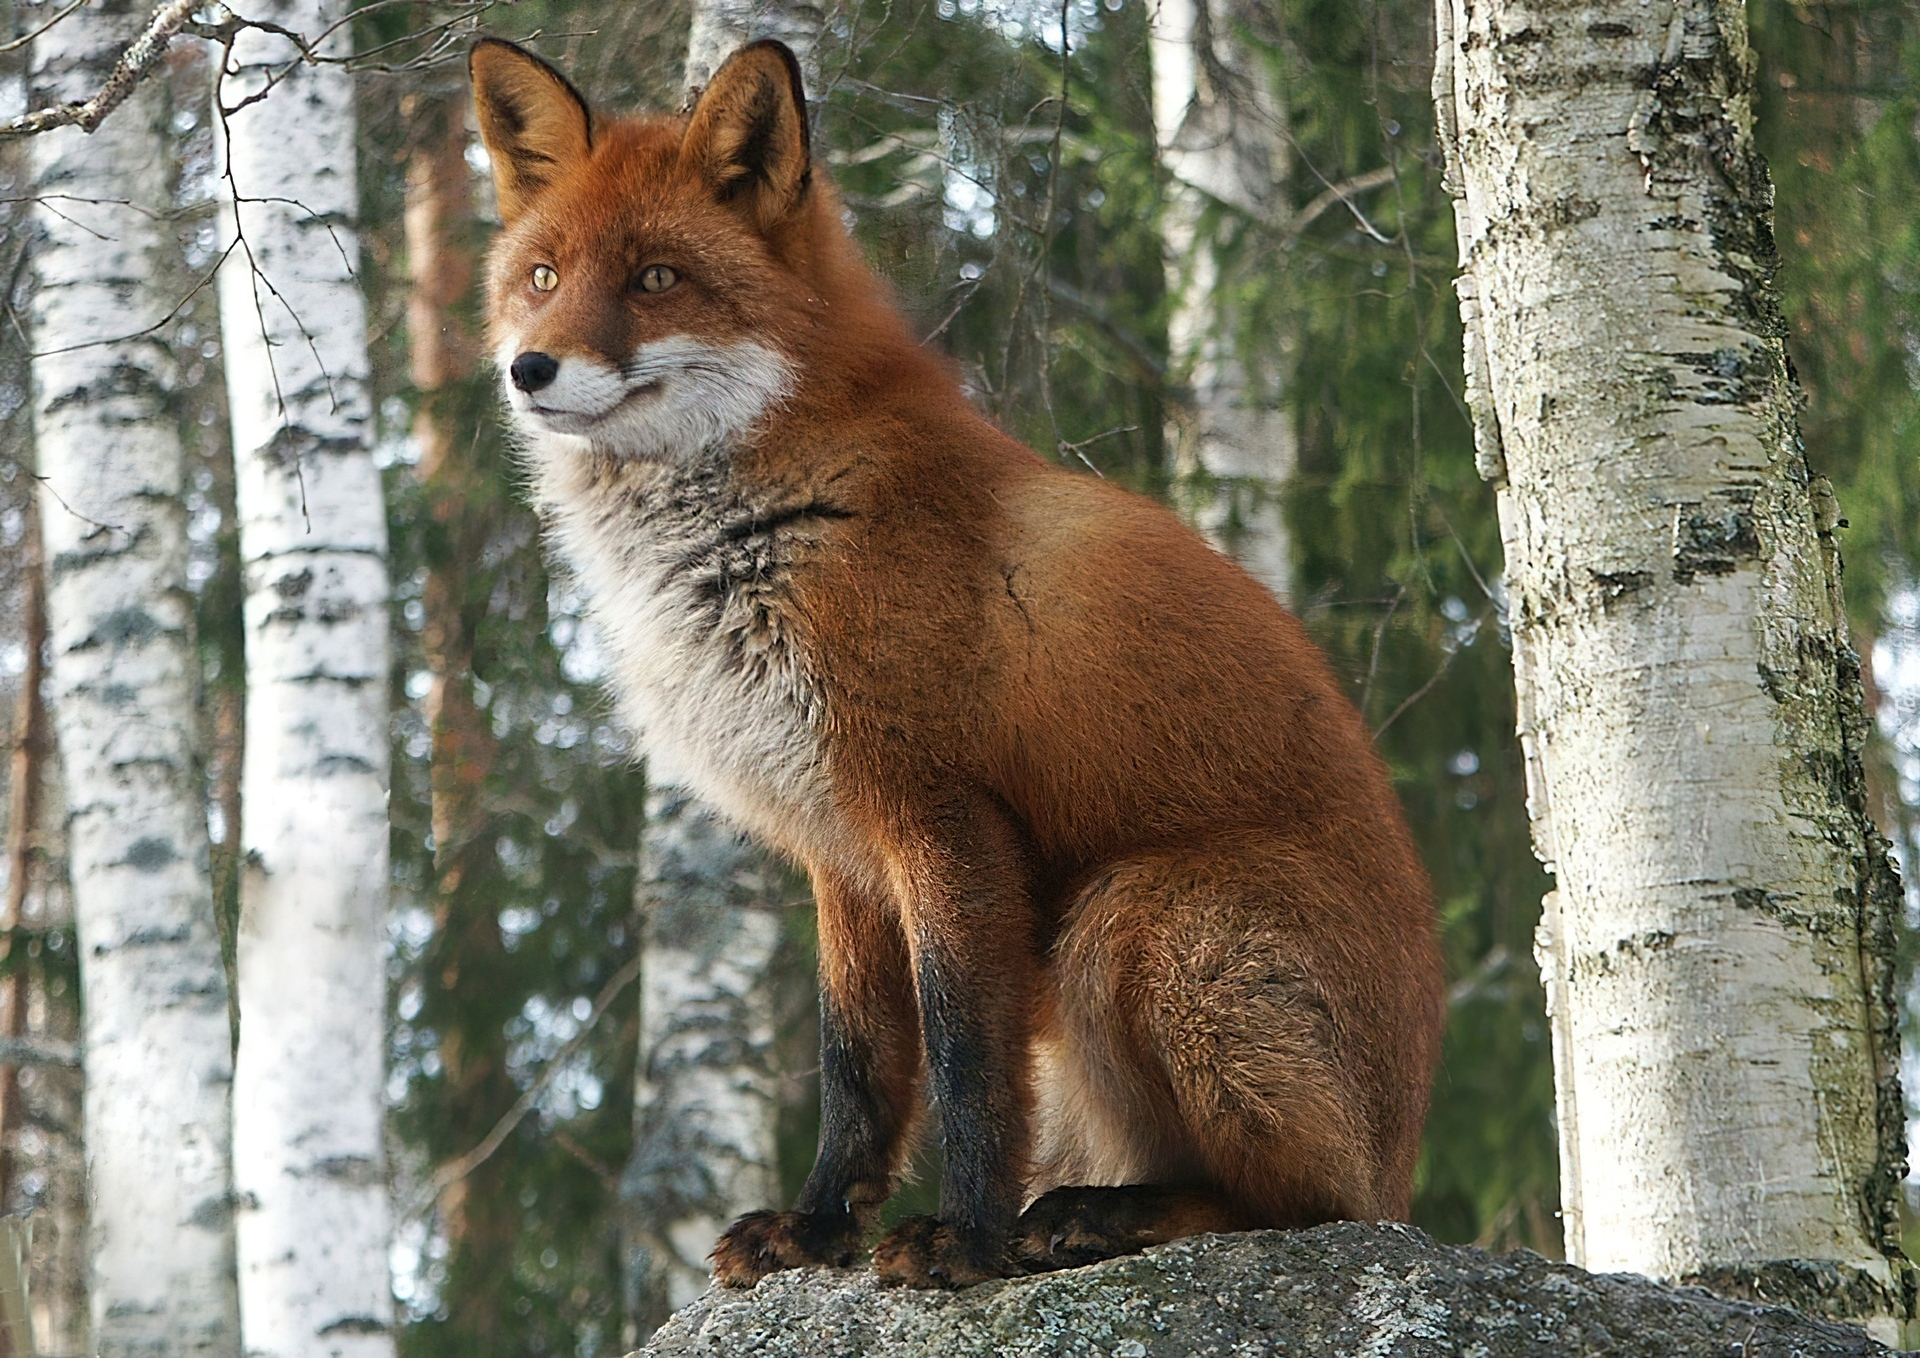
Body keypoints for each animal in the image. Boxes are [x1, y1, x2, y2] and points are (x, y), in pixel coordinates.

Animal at [472, 39, 1443, 1298]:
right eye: (542, 275)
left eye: (654, 278)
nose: (530, 368)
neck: (761, 532)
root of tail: (1407, 1165)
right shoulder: (837, 845)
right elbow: (859, 1063)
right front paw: (818, 1224)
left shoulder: (940, 812)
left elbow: (967, 1056)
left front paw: (967, 1236)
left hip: (1136, 918)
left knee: (1307, 1207)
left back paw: (1100, 1214)